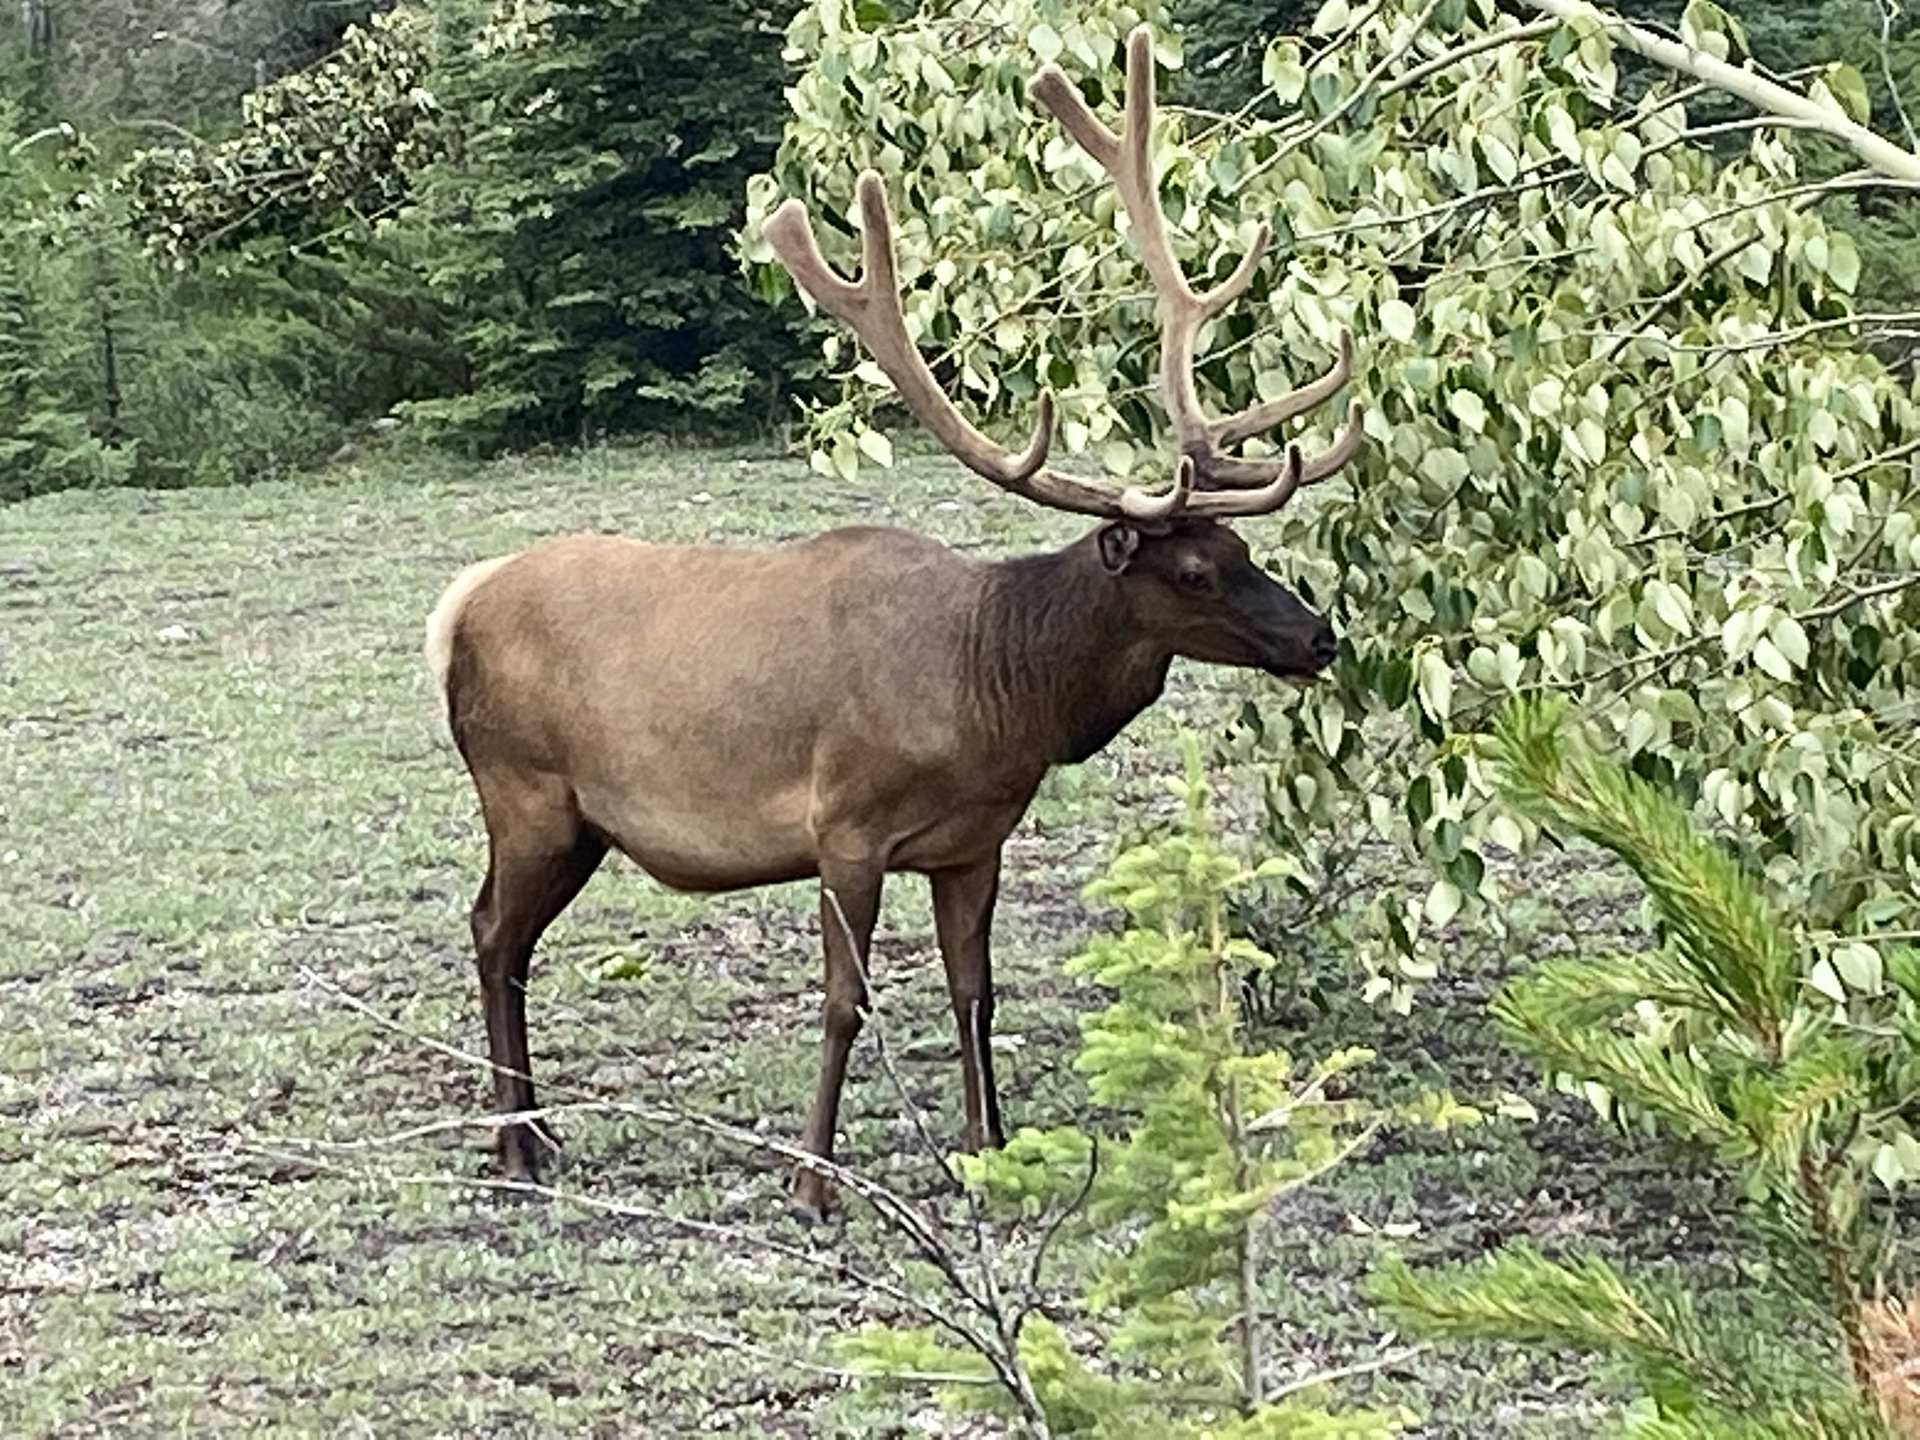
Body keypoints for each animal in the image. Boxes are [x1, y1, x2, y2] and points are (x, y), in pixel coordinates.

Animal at [430, 25, 1374, 1221]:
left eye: (1252, 553)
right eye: (1199, 571)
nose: (1318, 638)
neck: (995, 700)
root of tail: (457, 605)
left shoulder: (975, 842)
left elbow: (975, 989)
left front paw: (989, 1148)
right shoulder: (845, 827)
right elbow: (848, 1001)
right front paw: (814, 1178)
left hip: (575, 819)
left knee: (501, 935)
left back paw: (536, 1133)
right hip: (524, 790)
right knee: (491, 932)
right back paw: (516, 1148)